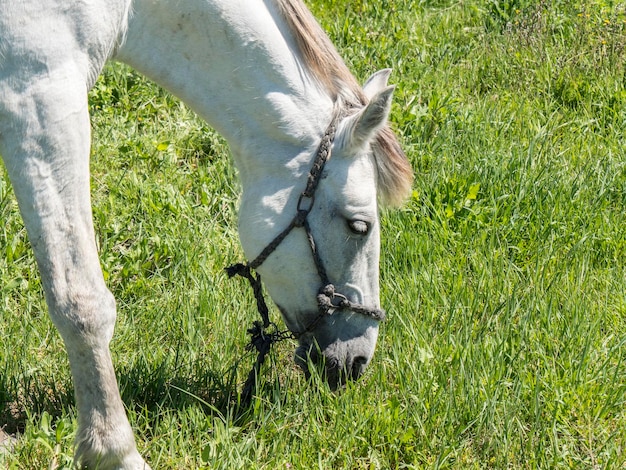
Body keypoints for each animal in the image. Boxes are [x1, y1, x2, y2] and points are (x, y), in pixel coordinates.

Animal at [0, 0, 412, 466]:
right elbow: (81, 301)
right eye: (359, 226)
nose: (358, 359)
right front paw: (114, 451)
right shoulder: (41, 93)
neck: (129, 10)